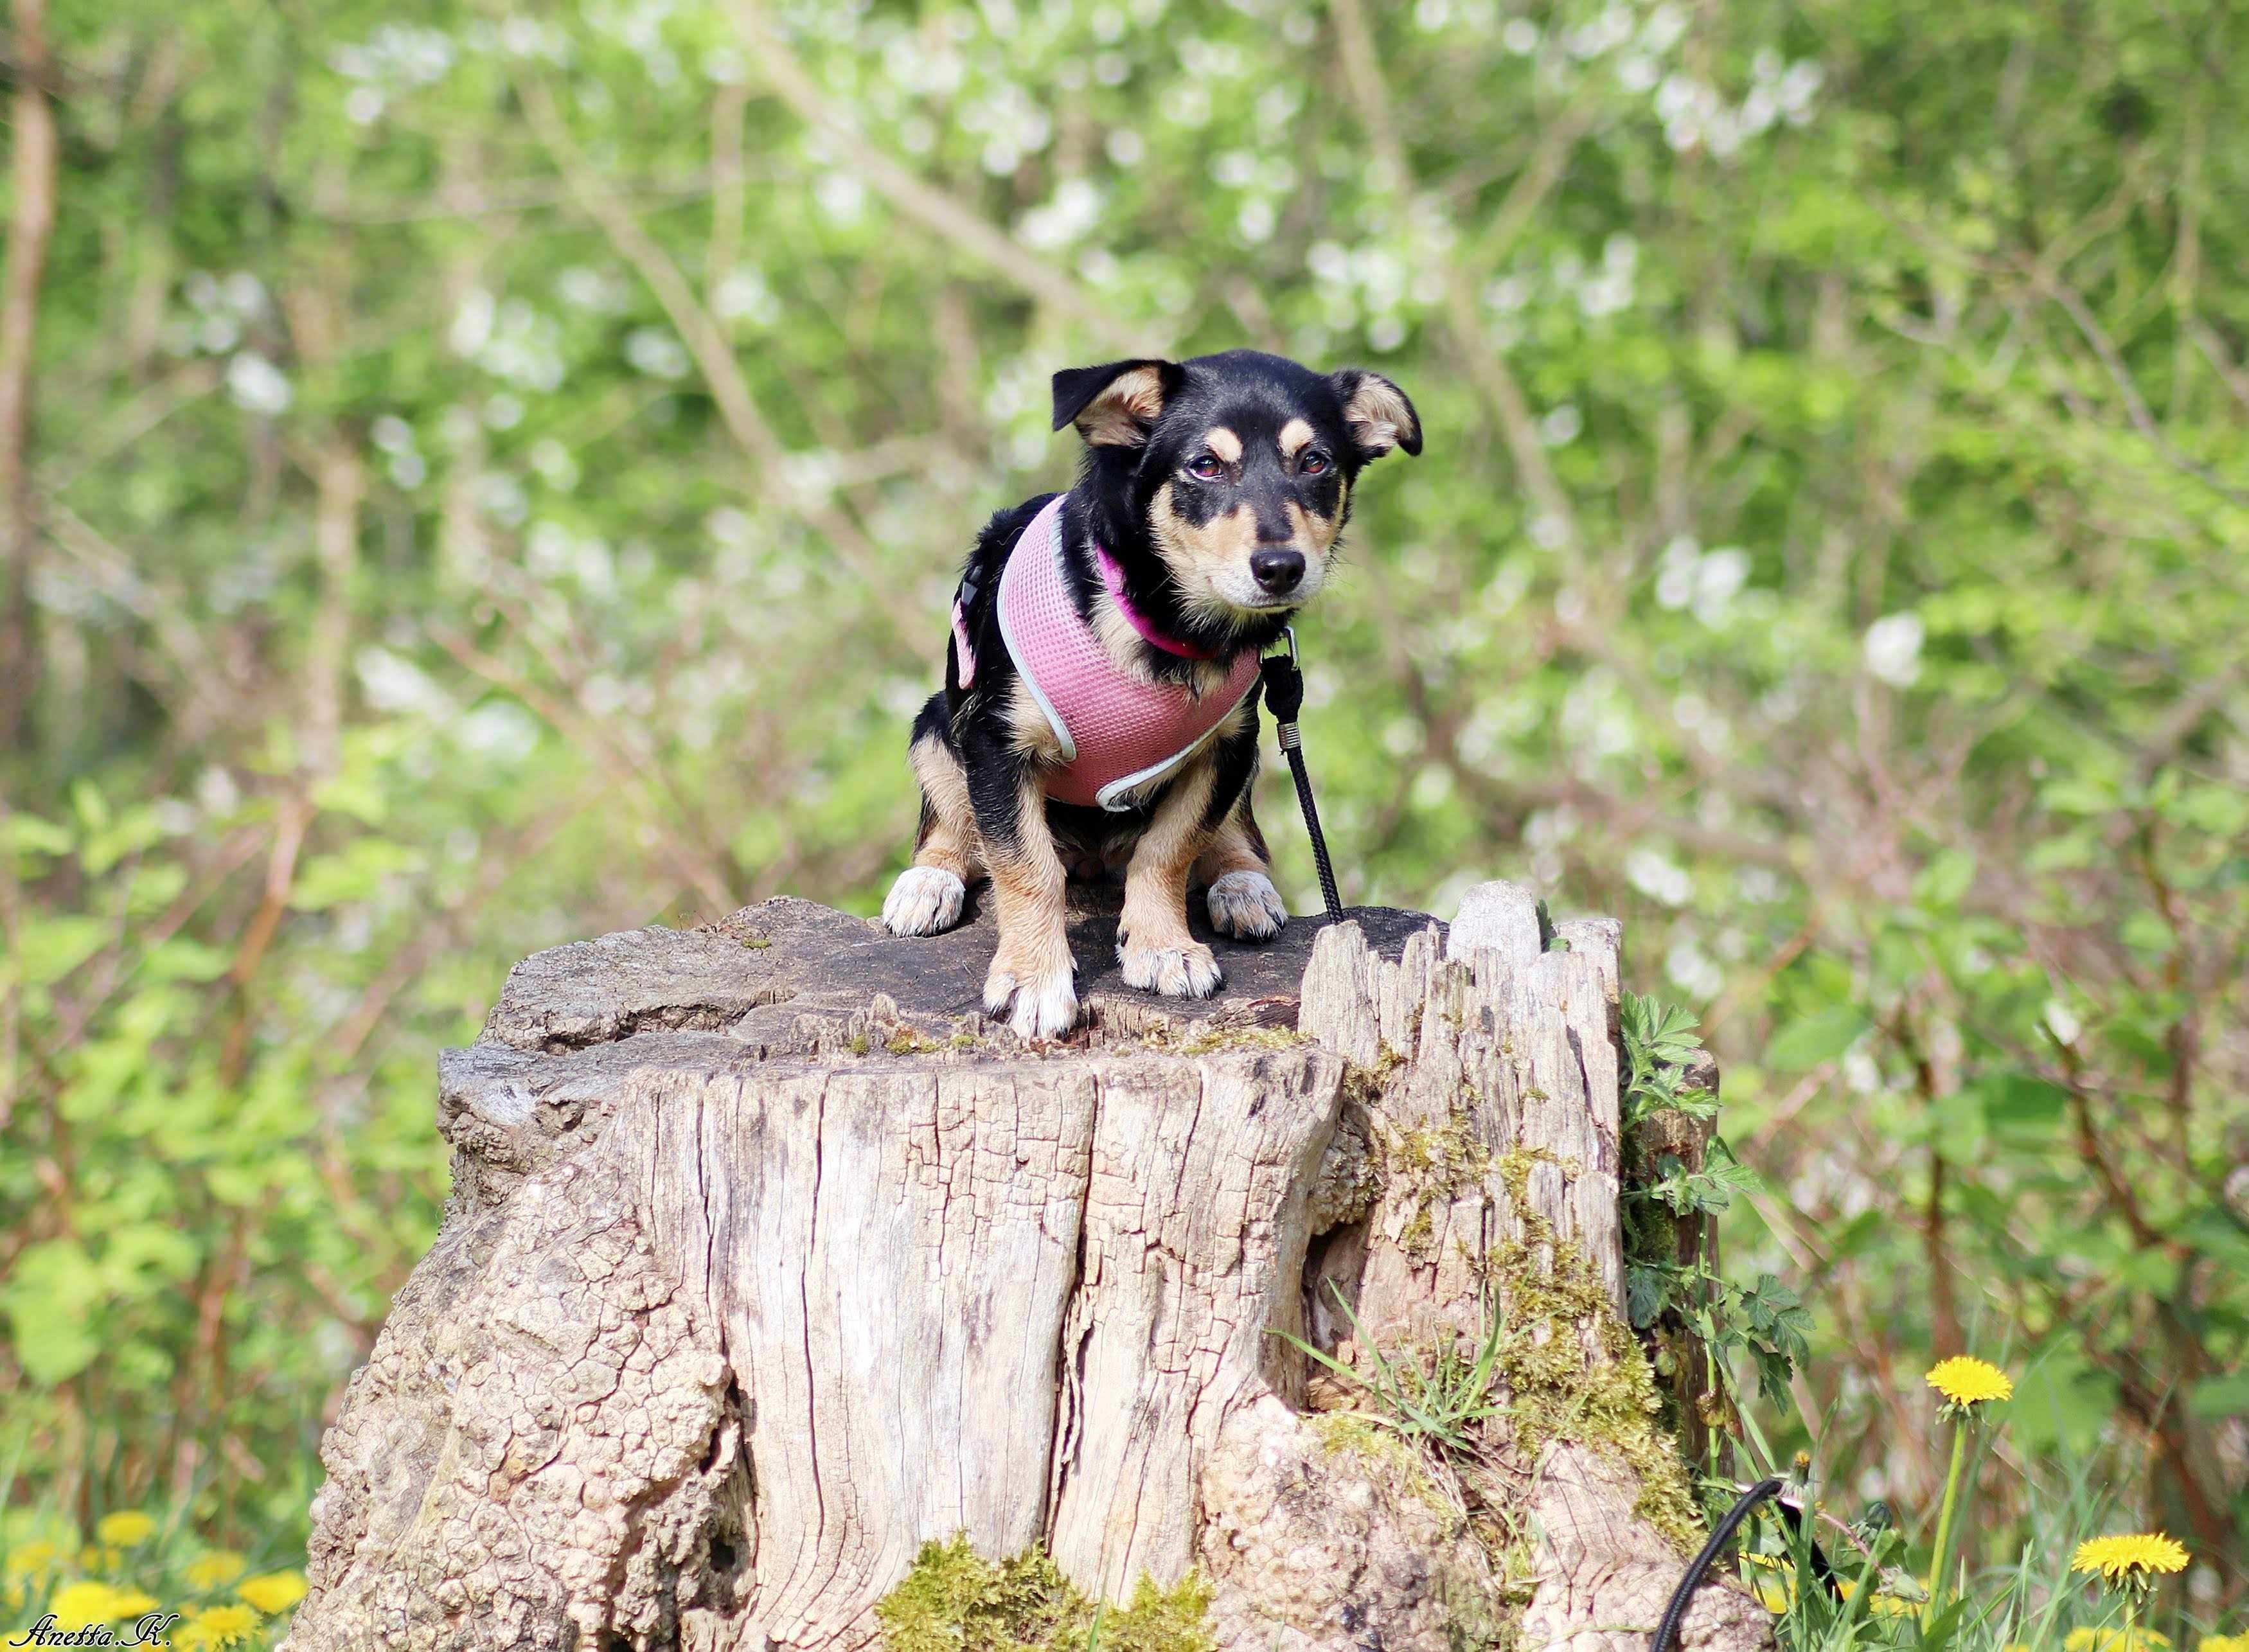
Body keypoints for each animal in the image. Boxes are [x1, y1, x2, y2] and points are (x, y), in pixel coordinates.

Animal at [882, 353, 1421, 1034]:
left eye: (1316, 462)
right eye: (1205, 465)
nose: (1281, 567)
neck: (1164, 627)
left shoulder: (1228, 747)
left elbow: (1170, 848)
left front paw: (1164, 947)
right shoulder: (996, 747)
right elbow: (1025, 866)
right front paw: (1034, 977)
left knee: (1234, 835)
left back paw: (1241, 885)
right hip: (934, 725)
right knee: (952, 827)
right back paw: (928, 882)